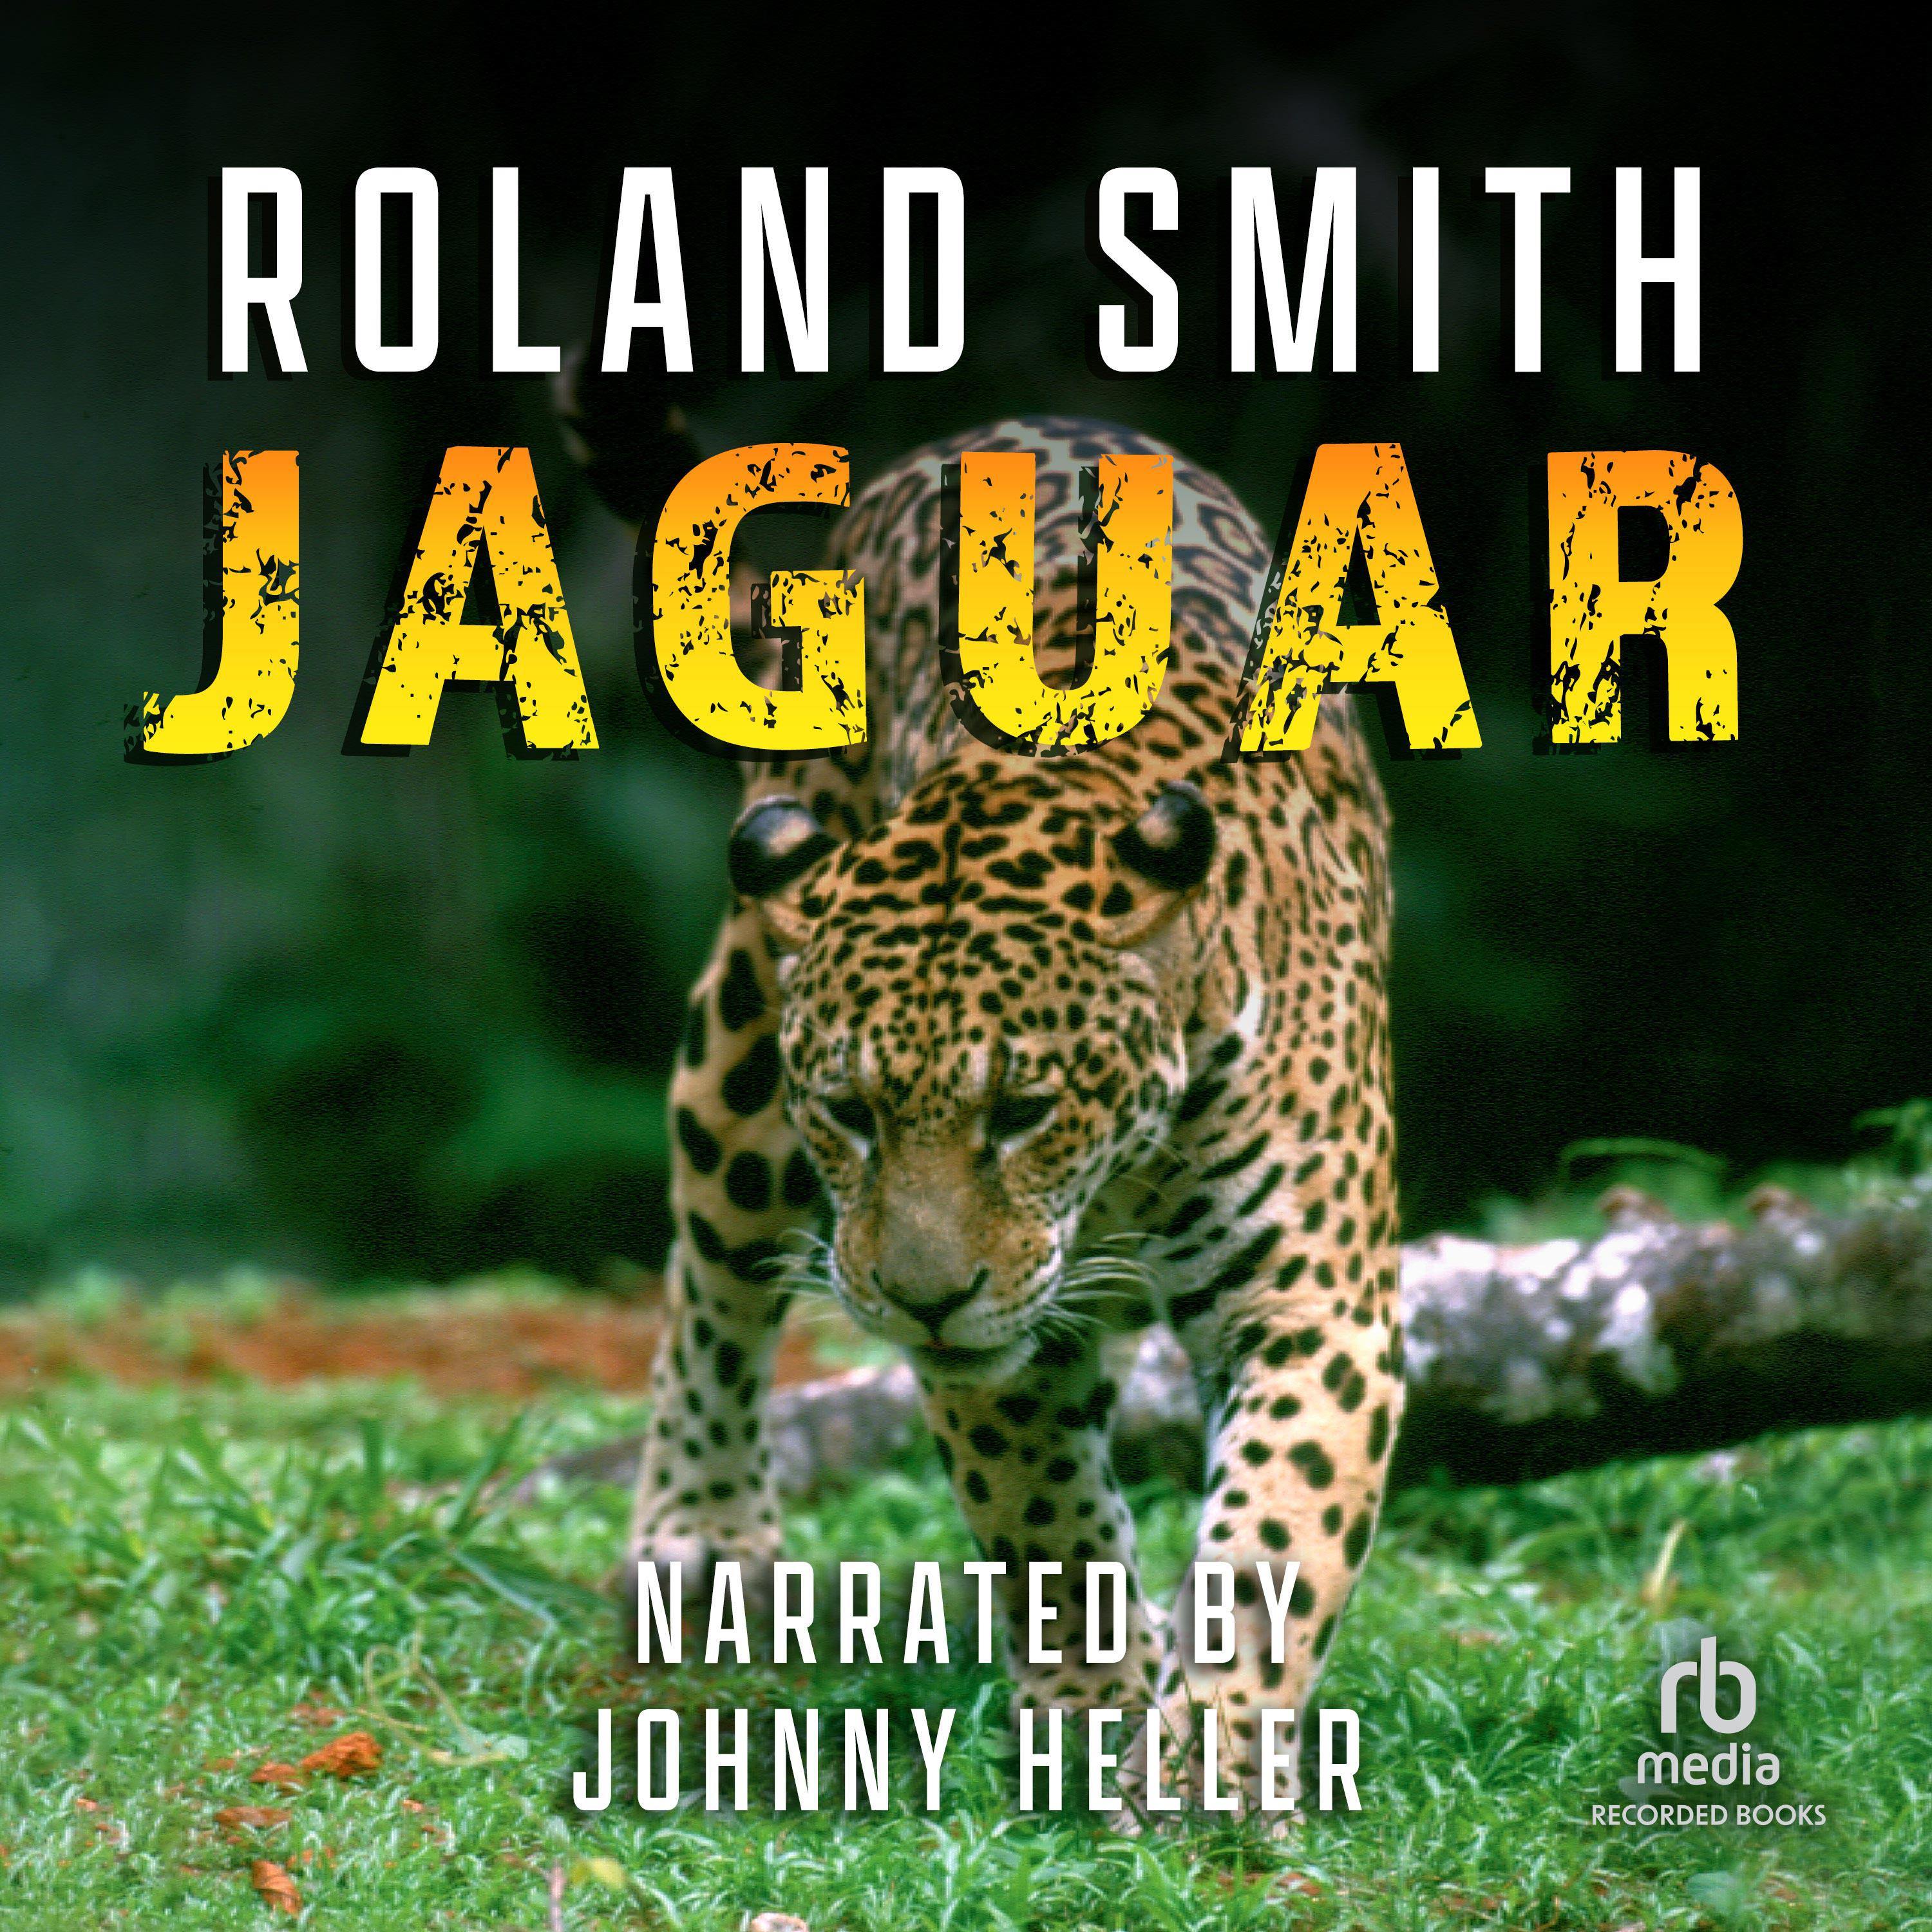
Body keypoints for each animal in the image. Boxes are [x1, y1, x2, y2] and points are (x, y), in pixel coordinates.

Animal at [613, 412, 1402, 1815]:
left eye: (1026, 1108)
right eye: (853, 1113)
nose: (922, 1298)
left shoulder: (1312, 1308)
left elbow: (1269, 1544)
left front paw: (1204, 1757)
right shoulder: (996, 1347)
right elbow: (1047, 1525)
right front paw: (1089, 1711)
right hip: (743, 1039)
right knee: (714, 1279)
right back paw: (702, 1533)